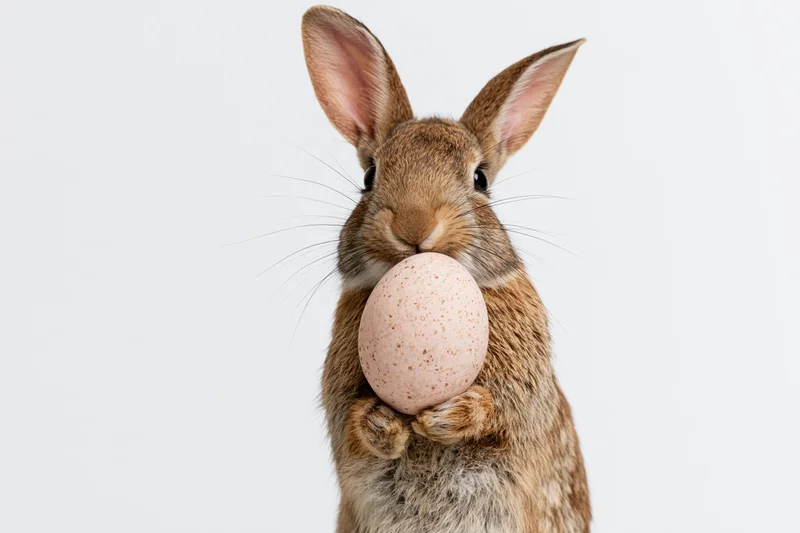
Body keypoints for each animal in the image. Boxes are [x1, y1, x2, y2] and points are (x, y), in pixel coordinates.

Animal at [301, 6, 590, 533]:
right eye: (369, 175)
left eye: (480, 179)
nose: (415, 225)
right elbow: (353, 431)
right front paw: (382, 423)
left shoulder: (523, 409)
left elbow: (500, 419)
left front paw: (449, 417)